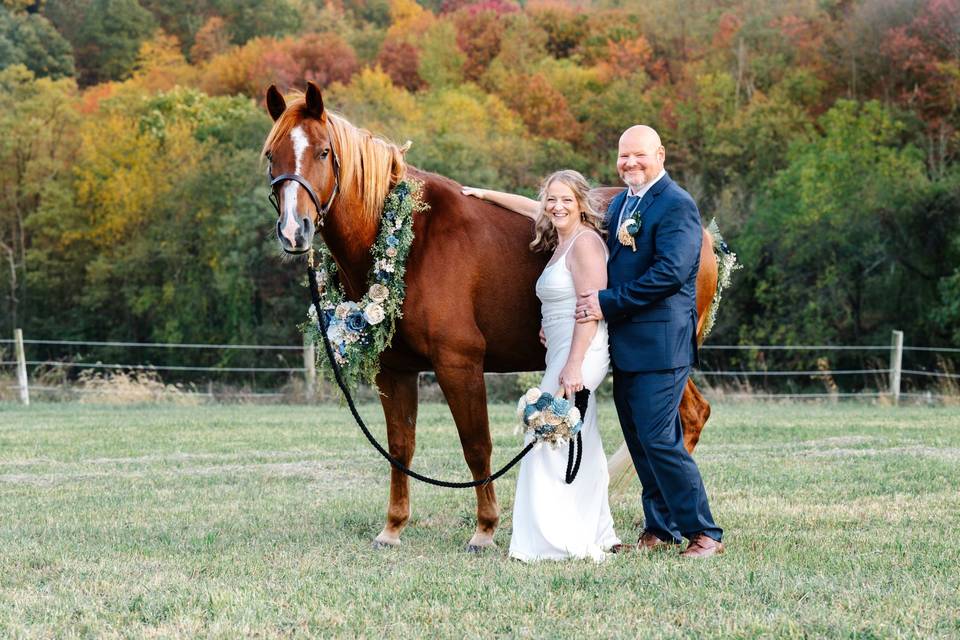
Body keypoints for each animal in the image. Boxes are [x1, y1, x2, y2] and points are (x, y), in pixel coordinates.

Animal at [262, 82, 716, 551]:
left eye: (322, 152)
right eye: (271, 155)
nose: (294, 230)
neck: (413, 241)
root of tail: (703, 234)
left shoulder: (458, 363)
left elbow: (476, 445)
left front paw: (485, 530)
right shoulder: (396, 370)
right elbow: (401, 447)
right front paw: (393, 527)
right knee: (686, 418)